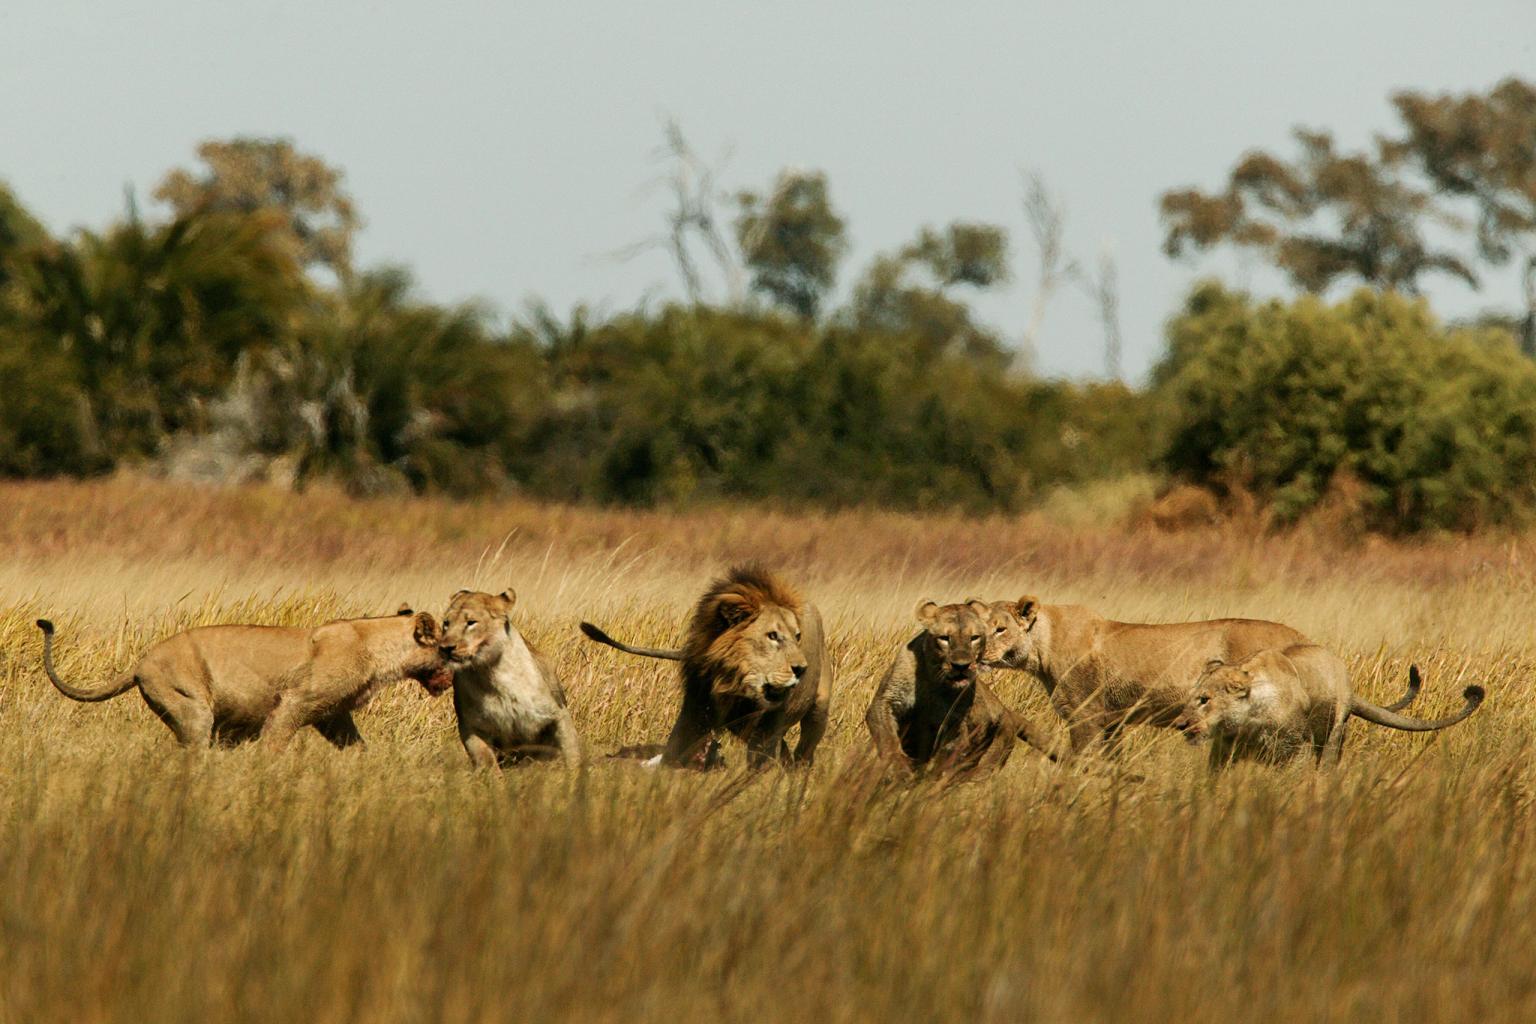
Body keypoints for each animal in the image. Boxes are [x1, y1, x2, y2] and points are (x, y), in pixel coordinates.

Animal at [34, 604, 448, 749]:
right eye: (447, 648)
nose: (449, 677)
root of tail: (138, 664)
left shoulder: (334, 716)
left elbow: (358, 746)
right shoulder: (294, 703)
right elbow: (275, 741)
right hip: (193, 709)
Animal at [439, 583, 580, 767]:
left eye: (471, 623)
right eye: (446, 623)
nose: (445, 648)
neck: (491, 675)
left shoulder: (559, 715)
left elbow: (572, 754)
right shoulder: (471, 728)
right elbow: (487, 764)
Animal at [583, 564, 829, 773]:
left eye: (797, 636)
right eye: (772, 636)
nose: (801, 669)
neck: (733, 683)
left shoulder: (771, 721)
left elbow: (760, 759)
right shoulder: (697, 706)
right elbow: (676, 749)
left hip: (818, 708)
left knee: (804, 749)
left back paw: (798, 771)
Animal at [866, 601, 1056, 776]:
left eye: (974, 638)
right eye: (944, 638)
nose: (961, 666)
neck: (934, 680)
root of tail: (1007, 711)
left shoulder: (958, 723)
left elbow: (947, 758)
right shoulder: (887, 700)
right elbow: (887, 737)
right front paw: (899, 768)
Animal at [1167, 647, 1480, 767]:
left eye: (1204, 699)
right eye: (1192, 698)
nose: (1180, 724)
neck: (1247, 720)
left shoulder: (1297, 749)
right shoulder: (1223, 750)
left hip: (1332, 735)